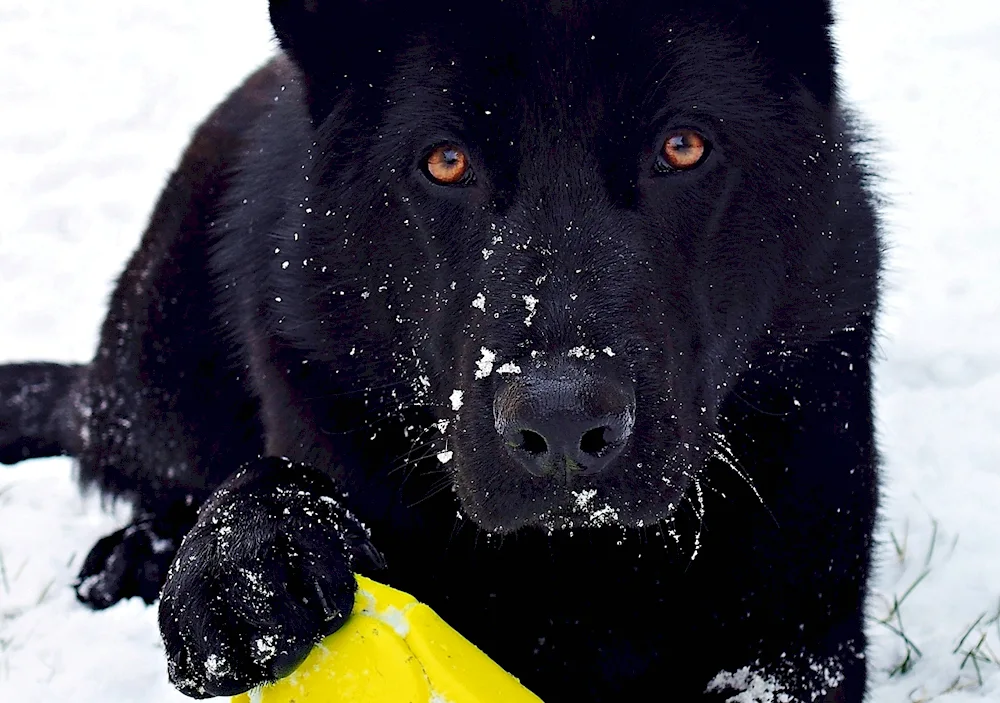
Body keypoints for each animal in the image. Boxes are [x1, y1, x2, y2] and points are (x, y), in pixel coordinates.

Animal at [0, 2, 880, 700]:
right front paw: (250, 552)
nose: (562, 424)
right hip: (164, 377)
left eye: (685, 147)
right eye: (446, 162)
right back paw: (138, 552)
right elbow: (269, 481)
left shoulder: (802, 641)